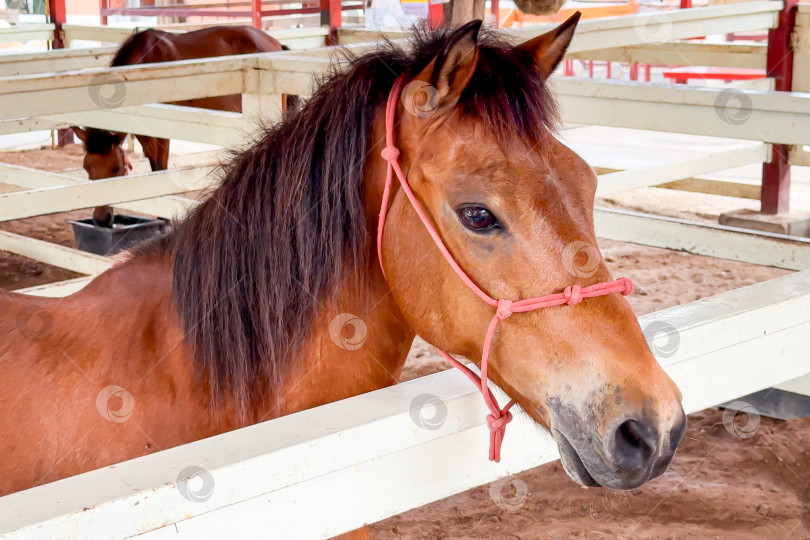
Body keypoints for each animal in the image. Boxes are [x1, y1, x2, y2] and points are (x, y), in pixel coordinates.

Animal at [72, 25, 294, 226]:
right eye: (86, 168)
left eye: (116, 168)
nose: (101, 220)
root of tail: (274, 43)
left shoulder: (160, 132)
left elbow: (159, 169)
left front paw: (163, 220)